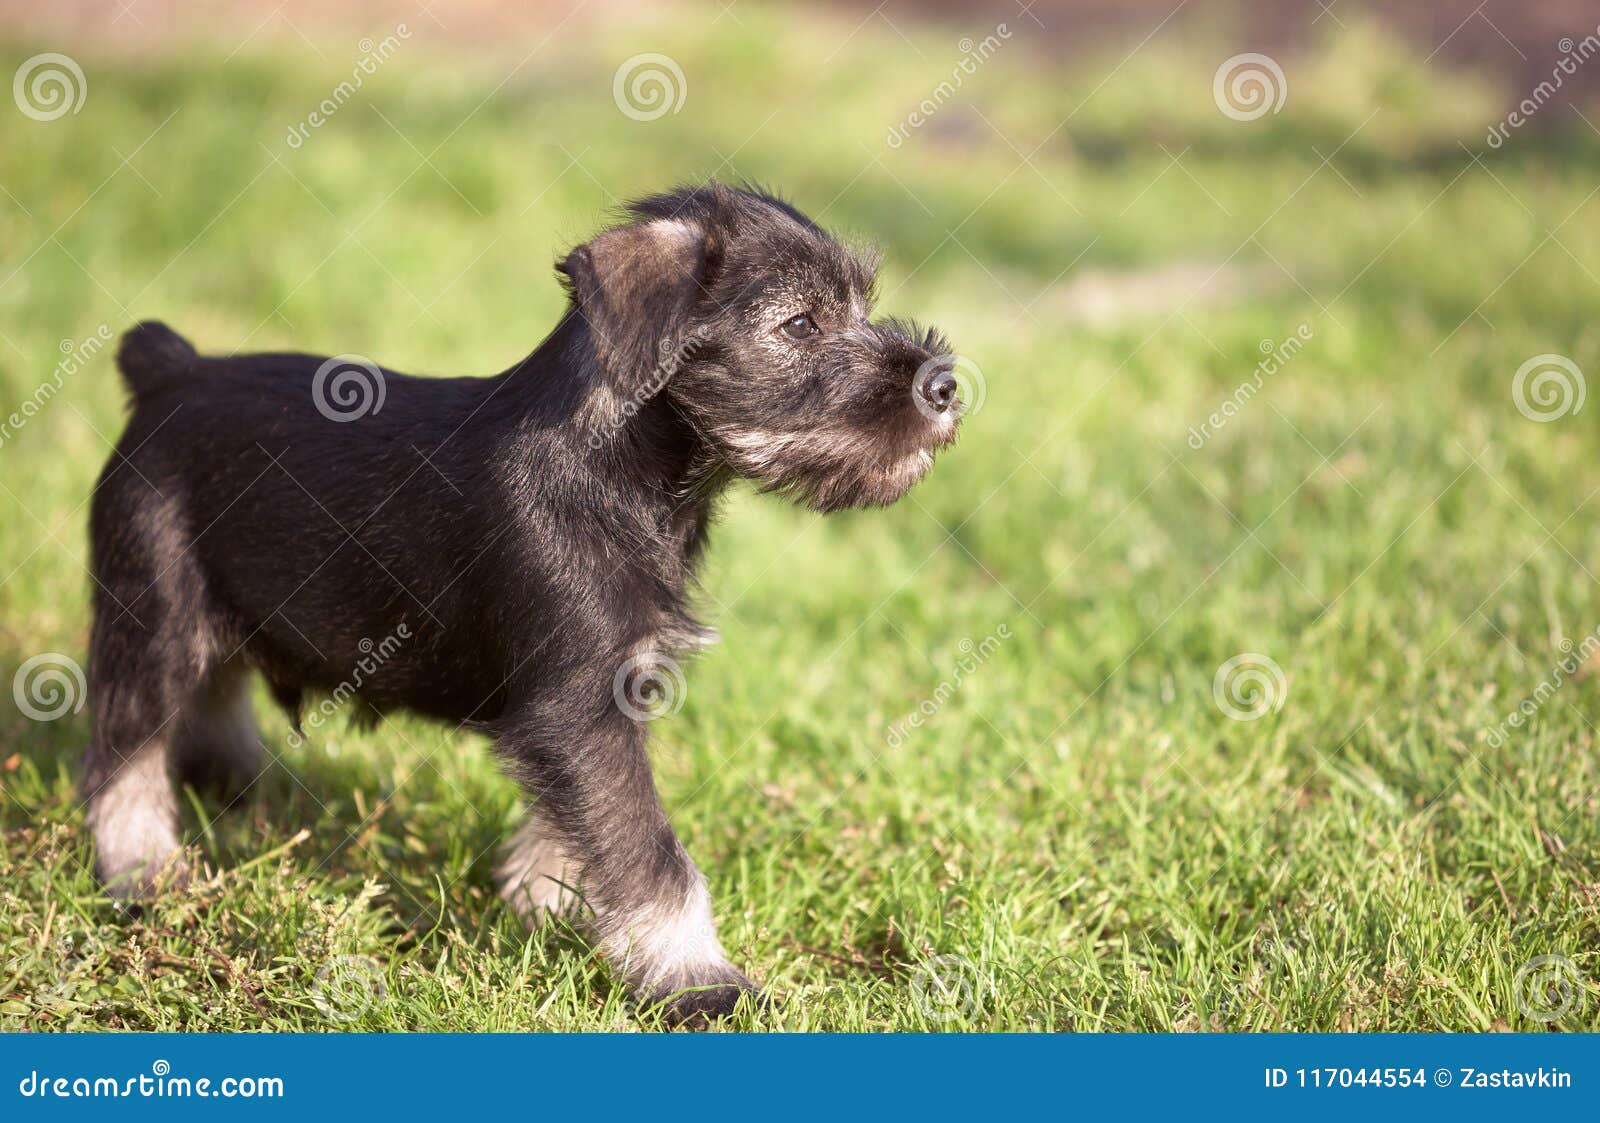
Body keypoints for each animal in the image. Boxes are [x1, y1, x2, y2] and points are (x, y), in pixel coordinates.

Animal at [81, 184, 960, 1030]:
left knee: (209, 696)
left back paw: (229, 789)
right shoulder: (579, 709)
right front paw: (698, 982)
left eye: (861, 305)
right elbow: (651, 854)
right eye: (800, 323)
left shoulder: (605, 702)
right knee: (123, 751)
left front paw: (549, 908)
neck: (620, 470)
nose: (946, 384)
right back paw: (145, 874)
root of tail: (170, 371)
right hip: (153, 614)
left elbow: (574, 825)